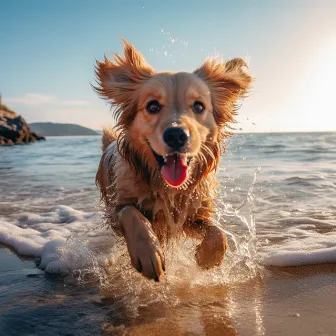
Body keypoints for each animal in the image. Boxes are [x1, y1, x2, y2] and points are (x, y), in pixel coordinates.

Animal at [93, 38, 251, 280]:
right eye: (153, 106)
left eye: (199, 106)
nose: (176, 135)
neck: (167, 188)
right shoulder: (116, 209)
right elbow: (131, 213)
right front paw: (148, 252)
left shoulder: (193, 213)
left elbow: (218, 232)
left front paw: (208, 257)